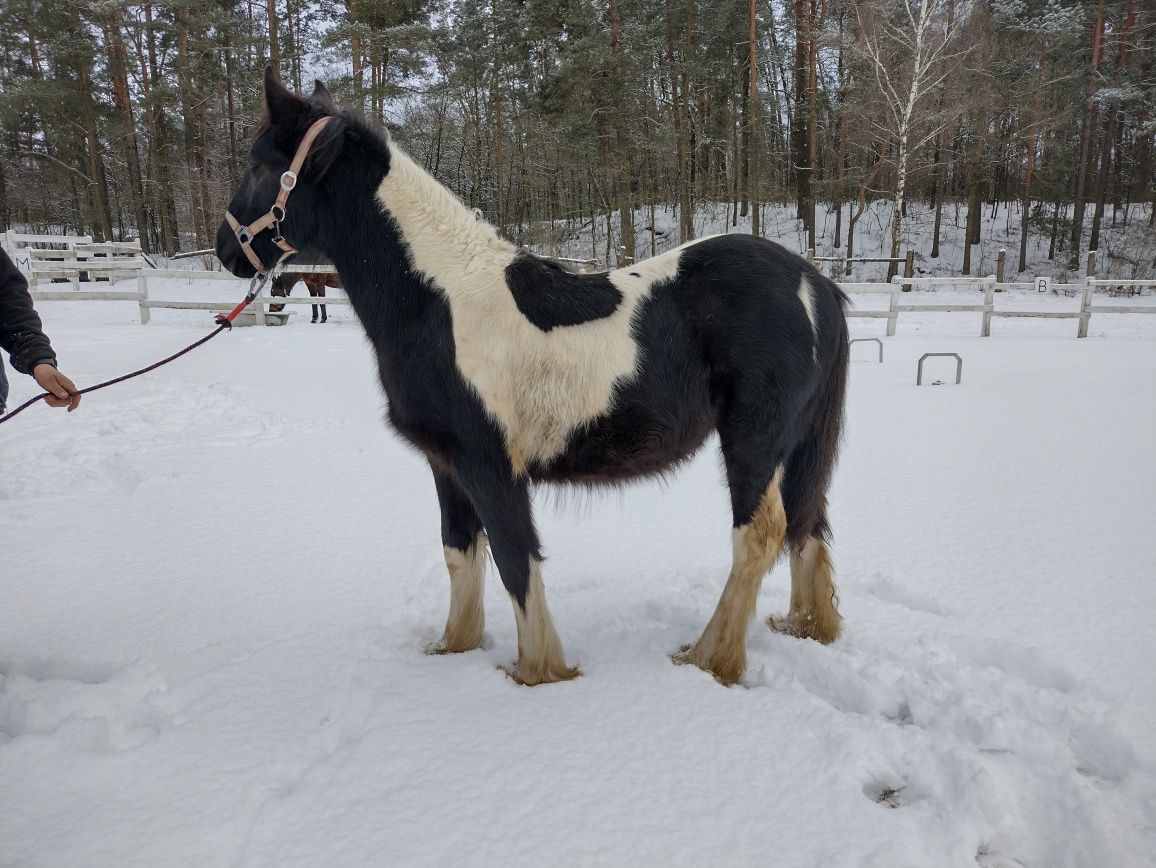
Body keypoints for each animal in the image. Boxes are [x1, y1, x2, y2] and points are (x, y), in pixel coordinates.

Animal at [217, 69, 850, 684]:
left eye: (259, 163)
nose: (226, 250)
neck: (441, 302)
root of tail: (815, 283)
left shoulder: (490, 463)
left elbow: (515, 559)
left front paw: (538, 671)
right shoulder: (446, 464)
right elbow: (460, 554)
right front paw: (455, 647)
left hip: (754, 438)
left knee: (759, 533)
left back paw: (709, 658)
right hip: (798, 444)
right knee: (807, 518)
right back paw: (804, 627)